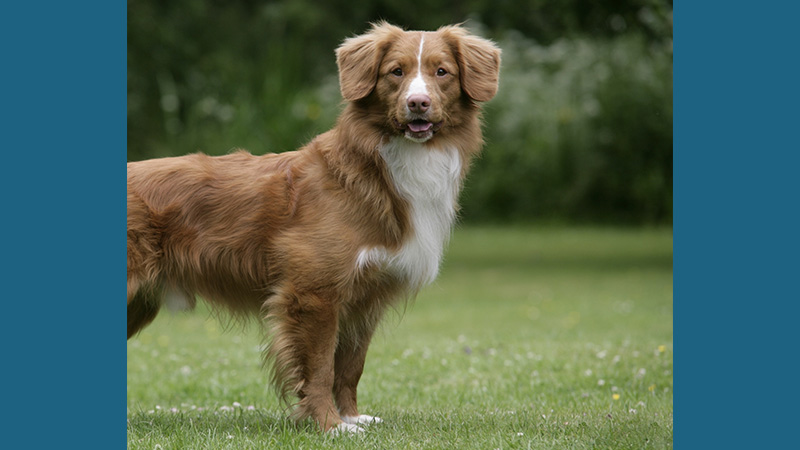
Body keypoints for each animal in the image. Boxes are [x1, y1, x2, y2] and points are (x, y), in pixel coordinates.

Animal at [125, 22, 500, 434]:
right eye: (396, 72)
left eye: (442, 72)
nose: (418, 103)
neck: (377, 171)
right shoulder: (314, 294)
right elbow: (320, 368)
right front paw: (329, 425)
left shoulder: (365, 298)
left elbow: (350, 367)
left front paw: (351, 416)